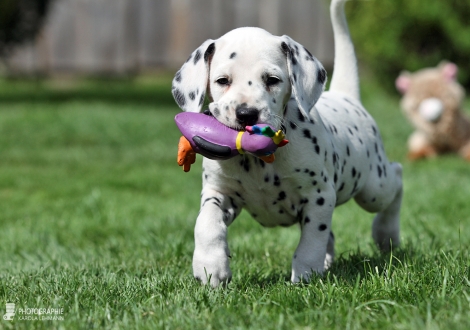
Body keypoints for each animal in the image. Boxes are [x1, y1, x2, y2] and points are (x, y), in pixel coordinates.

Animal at [171, 0, 402, 286]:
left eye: (272, 80)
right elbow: (206, 223)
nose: (246, 114)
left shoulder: (319, 196)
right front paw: (210, 266)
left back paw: (387, 233)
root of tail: (346, 96)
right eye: (222, 81)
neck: (258, 161)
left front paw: (305, 274)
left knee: (397, 178)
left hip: (373, 188)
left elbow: (311, 241)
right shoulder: (219, 192)